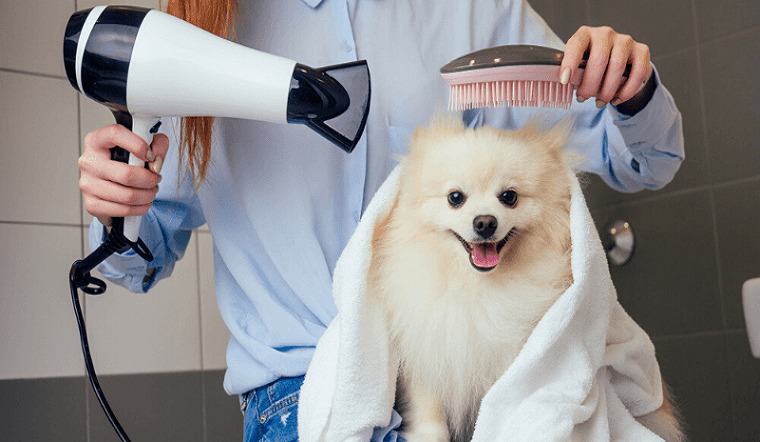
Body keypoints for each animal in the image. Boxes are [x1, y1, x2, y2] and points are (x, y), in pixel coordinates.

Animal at [368, 119, 684, 442]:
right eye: (455, 198)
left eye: (509, 197)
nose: (485, 222)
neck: (476, 286)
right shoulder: (427, 345)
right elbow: (430, 412)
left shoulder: (520, 358)